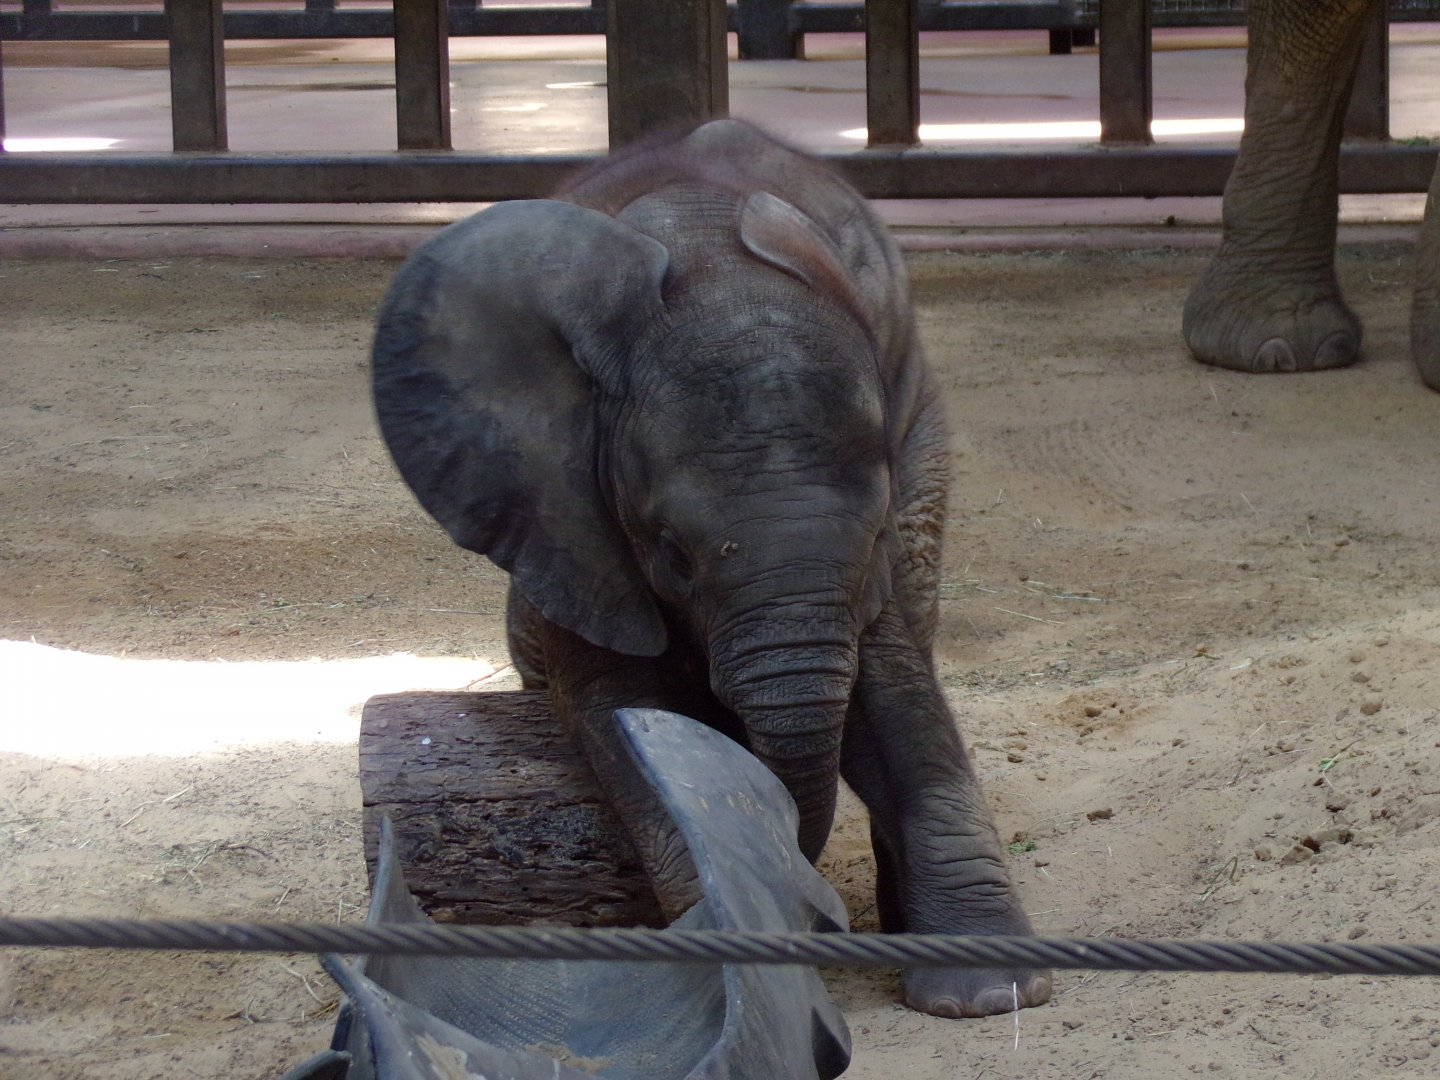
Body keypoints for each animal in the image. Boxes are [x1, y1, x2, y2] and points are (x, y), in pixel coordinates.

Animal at [371, 119, 1051, 1020]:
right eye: (673, 551)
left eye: (873, 533)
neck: (708, 256)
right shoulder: (565, 509)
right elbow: (627, 707)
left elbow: (895, 689)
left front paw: (987, 992)